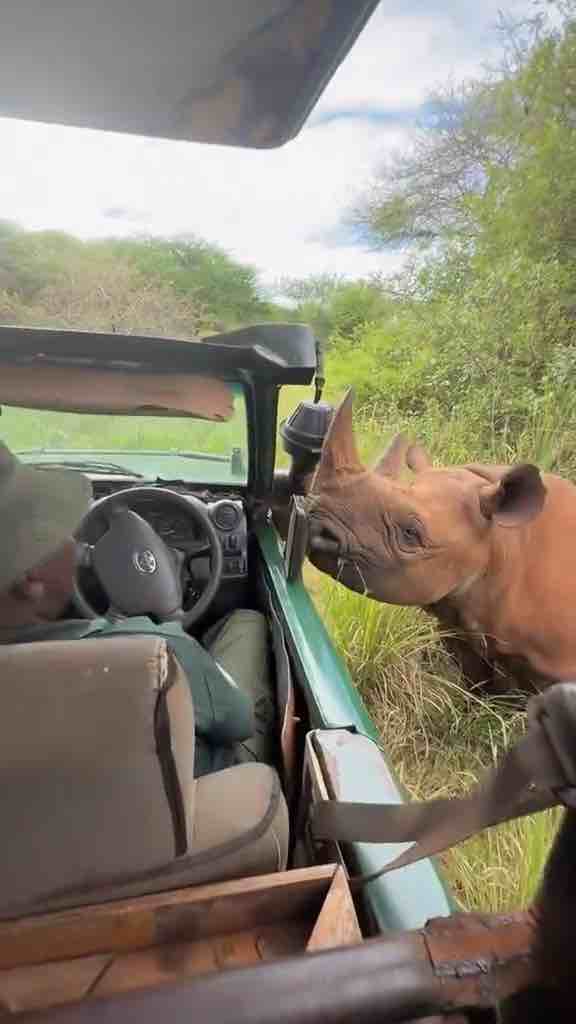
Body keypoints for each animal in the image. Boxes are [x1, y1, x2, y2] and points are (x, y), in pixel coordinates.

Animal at [307, 391, 576, 692]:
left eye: (410, 533)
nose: (314, 521)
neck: (499, 540)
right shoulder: (458, 625)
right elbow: (474, 685)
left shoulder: (554, 663)